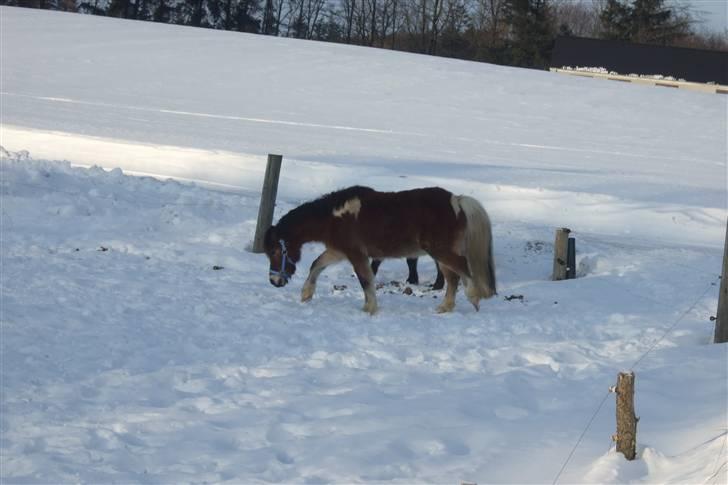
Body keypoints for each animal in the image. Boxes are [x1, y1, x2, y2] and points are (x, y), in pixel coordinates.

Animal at [264, 185, 498, 314]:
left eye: (275, 251)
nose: (274, 281)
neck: (333, 217)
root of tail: (456, 200)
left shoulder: (356, 254)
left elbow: (365, 280)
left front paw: (369, 309)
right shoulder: (338, 252)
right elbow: (316, 265)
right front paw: (306, 294)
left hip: (440, 251)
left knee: (462, 269)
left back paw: (474, 298)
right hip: (441, 254)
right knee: (453, 278)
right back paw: (445, 307)